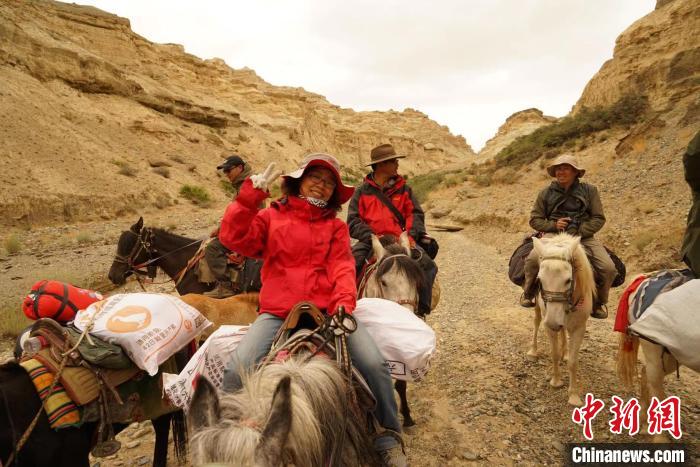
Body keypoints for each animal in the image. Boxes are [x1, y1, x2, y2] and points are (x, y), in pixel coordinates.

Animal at [528, 234, 592, 406]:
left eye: (568, 280)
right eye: (539, 279)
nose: (552, 322)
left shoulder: (579, 328)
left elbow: (573, 362)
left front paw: (573, 395)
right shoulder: (549, 325)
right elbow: (554, 353)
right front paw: (556, 381)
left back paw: (566, 352)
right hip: (538, 310)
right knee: (536, 322)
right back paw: (533, 351)